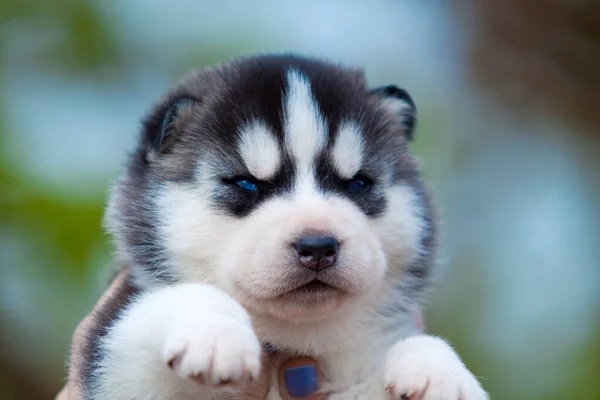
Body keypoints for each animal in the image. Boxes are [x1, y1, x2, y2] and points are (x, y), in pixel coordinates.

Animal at [85, 54, 488, 400]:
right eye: (247, 183)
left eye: (358, 183)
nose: (318, 247)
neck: (296, 338)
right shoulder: (112, 358)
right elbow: (164, 303)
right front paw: (215, 333)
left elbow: (418, 342)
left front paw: (441, 371)